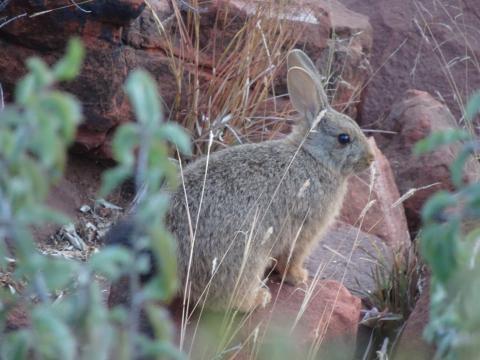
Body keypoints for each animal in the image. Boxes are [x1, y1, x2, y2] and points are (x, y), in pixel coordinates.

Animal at [106, 49, 376, 314]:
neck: (314, 156)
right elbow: (292, 258)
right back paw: (259, 299)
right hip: (246, 255)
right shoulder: (304, 232)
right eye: (344, 138)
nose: (371, 158)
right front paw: (299, 277)